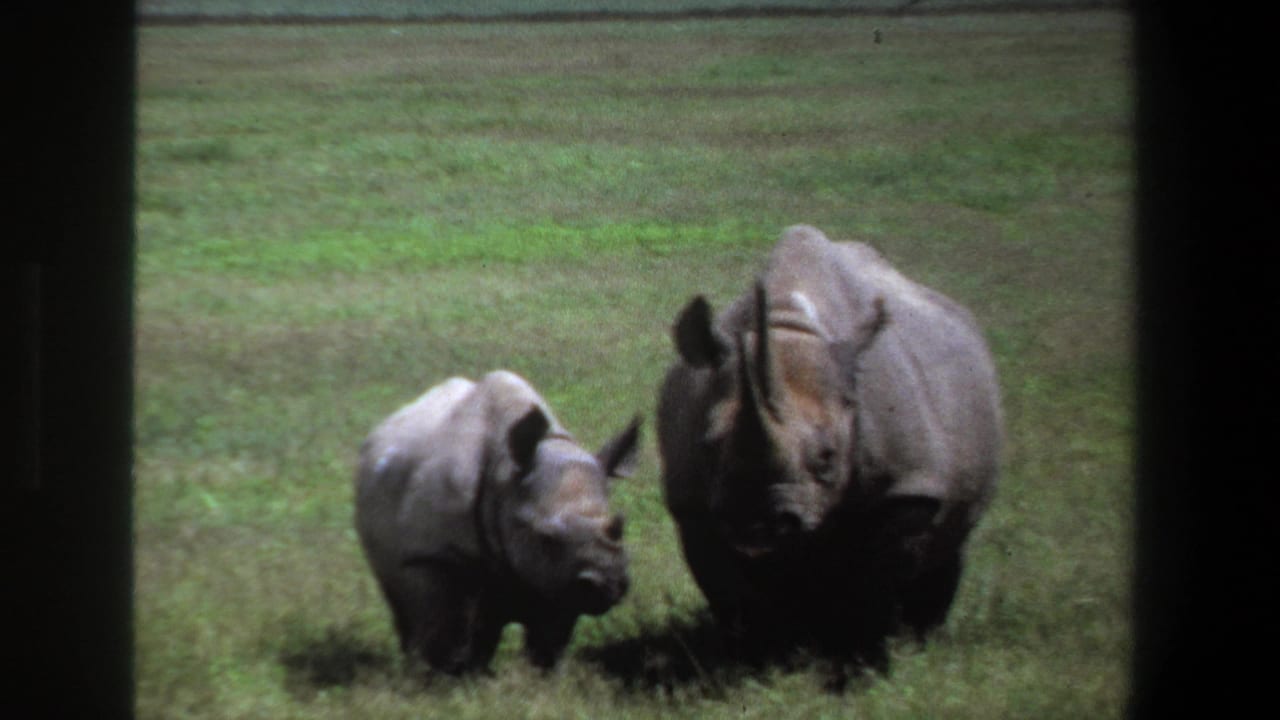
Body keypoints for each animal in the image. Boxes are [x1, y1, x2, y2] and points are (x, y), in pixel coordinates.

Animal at [355, 371, 641, 673]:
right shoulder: (434, 555)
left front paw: (544, 676)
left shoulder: (557, 577)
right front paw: (445, 678)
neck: (505, 476)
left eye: (620, 528)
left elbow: (550, 638)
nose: (606, 583)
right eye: (546, 538)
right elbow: (445, 630)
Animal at [657, 225, 1002, 663]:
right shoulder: (693, 504)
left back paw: (921, 639)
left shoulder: (907, 486)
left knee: (948, 546)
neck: (789, 327)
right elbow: (731, 590)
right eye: (707, 444)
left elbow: (876, 582)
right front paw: (763, 657)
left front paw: (863, 658)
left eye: (828, 457)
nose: (757, 523)